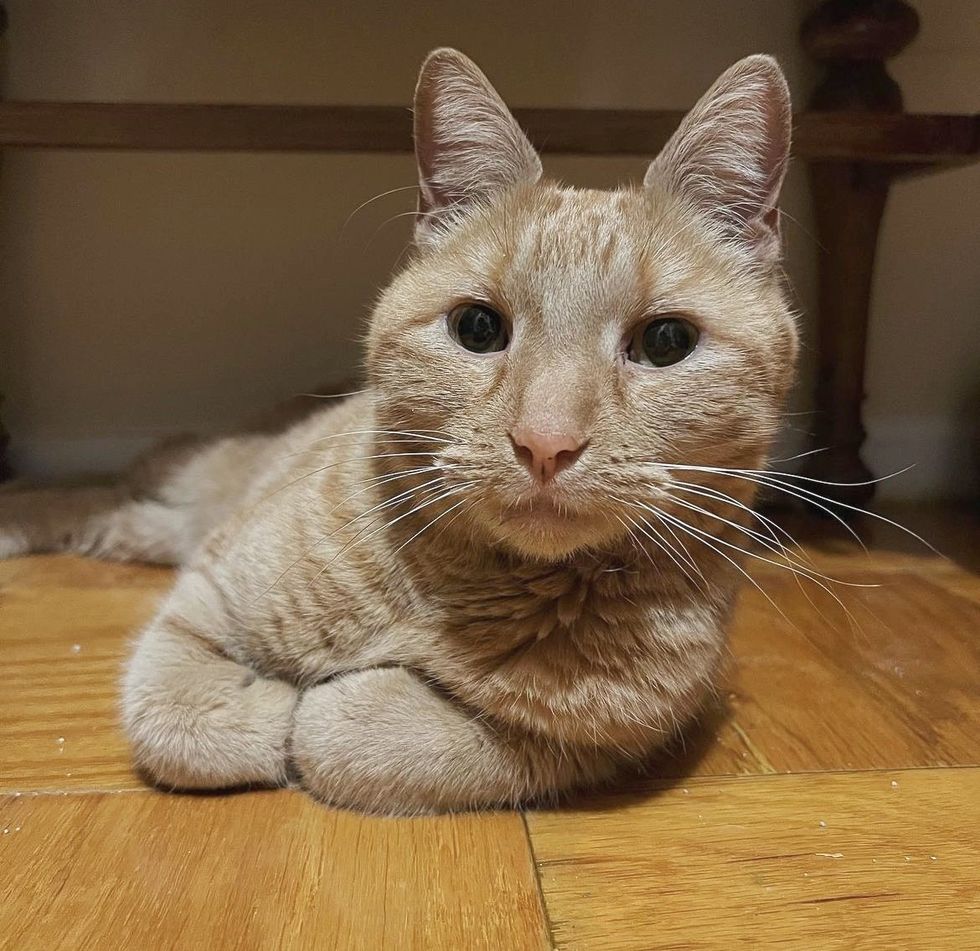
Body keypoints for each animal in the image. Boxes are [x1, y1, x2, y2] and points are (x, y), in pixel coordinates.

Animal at [0, 48, 796, 816]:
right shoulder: (206, 597)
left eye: (665, 341)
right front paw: (265, 708)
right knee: (104, 487)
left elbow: (359, 736)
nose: (545, 442)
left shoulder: (593, 744)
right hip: (194, 475)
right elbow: (178, 715)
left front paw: (331, 703)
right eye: (477, 328)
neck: (465, 590)